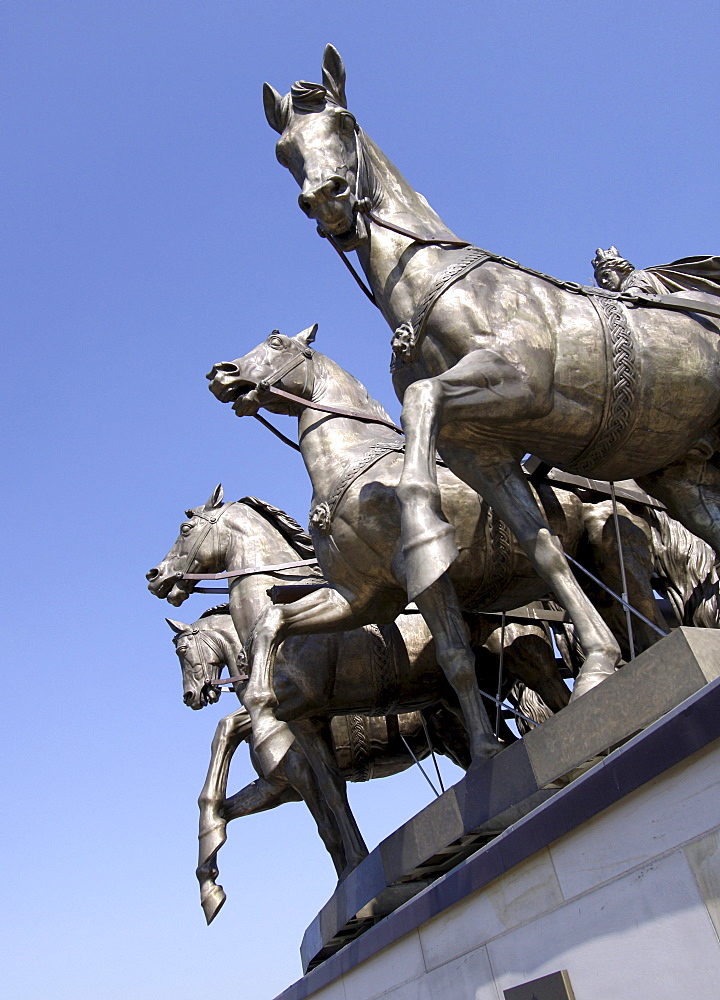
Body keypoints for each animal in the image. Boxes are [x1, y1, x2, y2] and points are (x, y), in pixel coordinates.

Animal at [262, 45, 720, 696]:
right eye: (284, 150)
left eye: (344, 121)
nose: (327, 197)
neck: (436, 291)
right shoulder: (480, 449)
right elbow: (541, 545)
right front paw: (598, 664)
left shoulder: (519, 384)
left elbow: (421, 401)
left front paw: (425, 537)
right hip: (680, 471)